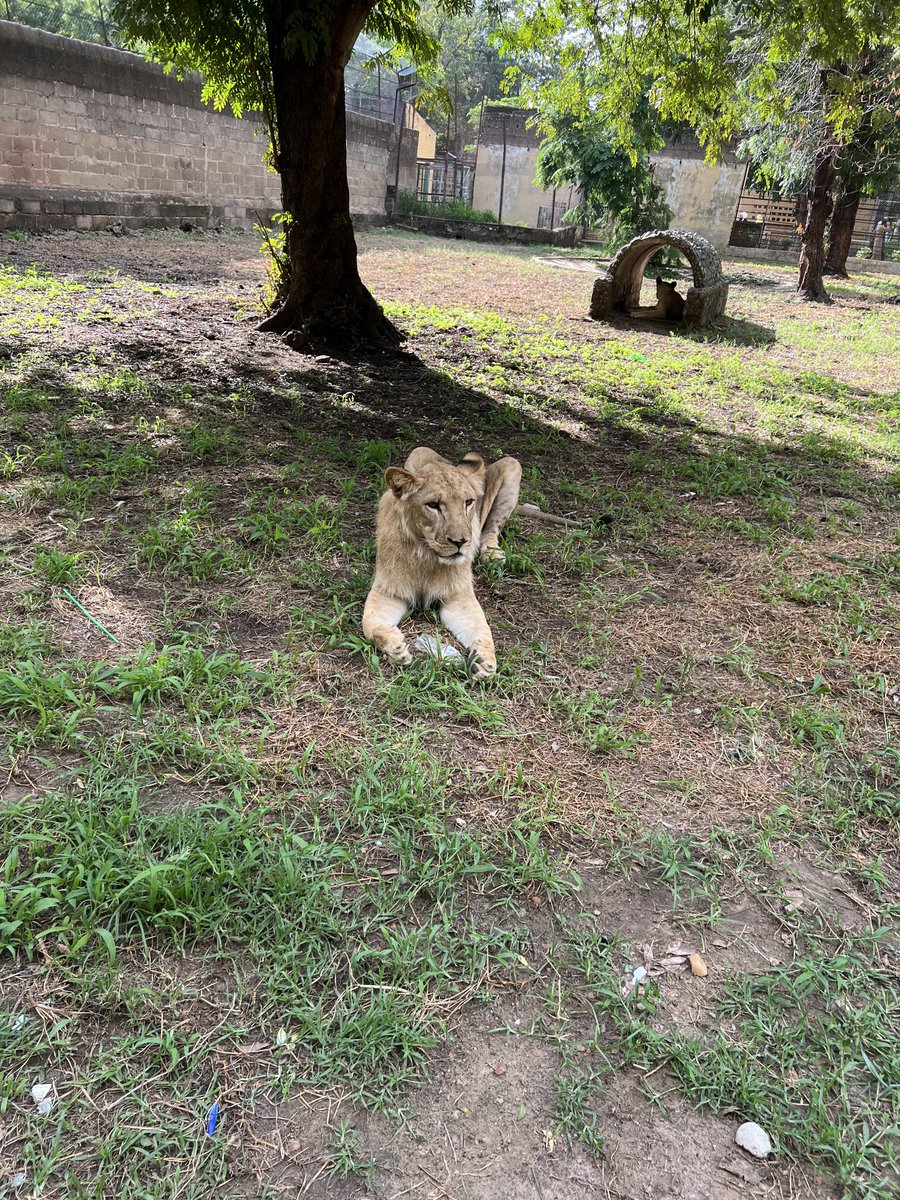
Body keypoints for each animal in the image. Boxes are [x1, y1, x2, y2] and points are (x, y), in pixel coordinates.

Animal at [362, 447, 522, 679]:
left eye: (468, 502)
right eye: (433, 505)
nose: (461, 541)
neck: (427, 556)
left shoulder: (459, 596)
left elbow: (483, 628)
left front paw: (485, 661)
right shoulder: (388, 590)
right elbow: (369, 622)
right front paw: (396, 647)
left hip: (512, 466)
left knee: (492, 528)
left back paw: (493, 555)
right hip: (418, 451)